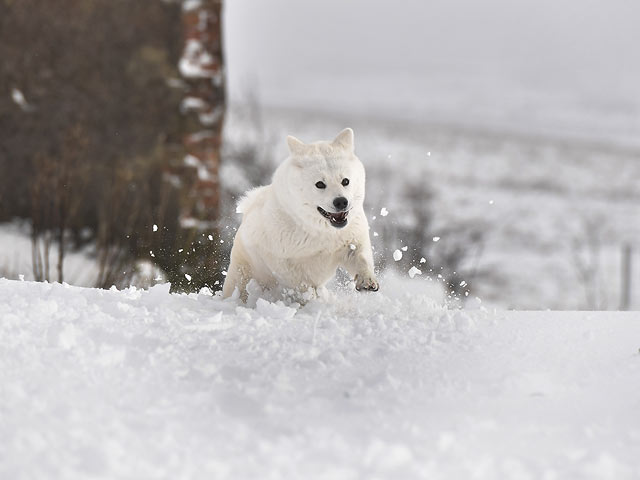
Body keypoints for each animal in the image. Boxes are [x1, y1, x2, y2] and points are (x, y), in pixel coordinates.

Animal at [222, 127, 378, 300]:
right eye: (320, 184)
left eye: (345, 181)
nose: (341, 202)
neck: (322, 232)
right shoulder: (277, 256)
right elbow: (299, 281)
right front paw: (312, 298)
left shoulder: (351, 236)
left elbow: (360, 255)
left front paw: (367, 282)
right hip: (242, 273)